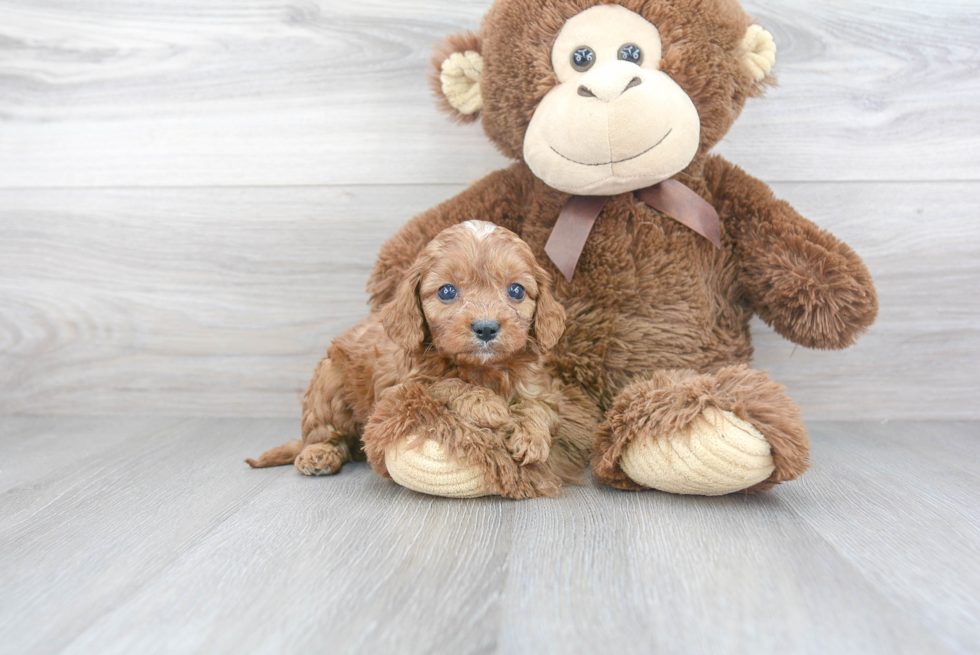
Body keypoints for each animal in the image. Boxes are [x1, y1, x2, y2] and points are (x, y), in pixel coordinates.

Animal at [249, 223, 592, 500]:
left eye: (517, 290)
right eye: (447, 291)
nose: (486, 328)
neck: (482, 368)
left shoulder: (540, 387)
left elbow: (537, 407)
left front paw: (531, 437)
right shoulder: (405, 385)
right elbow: (446, 383)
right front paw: (487, 405)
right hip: (328, 385)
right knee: (326, 433)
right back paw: (318, 454)